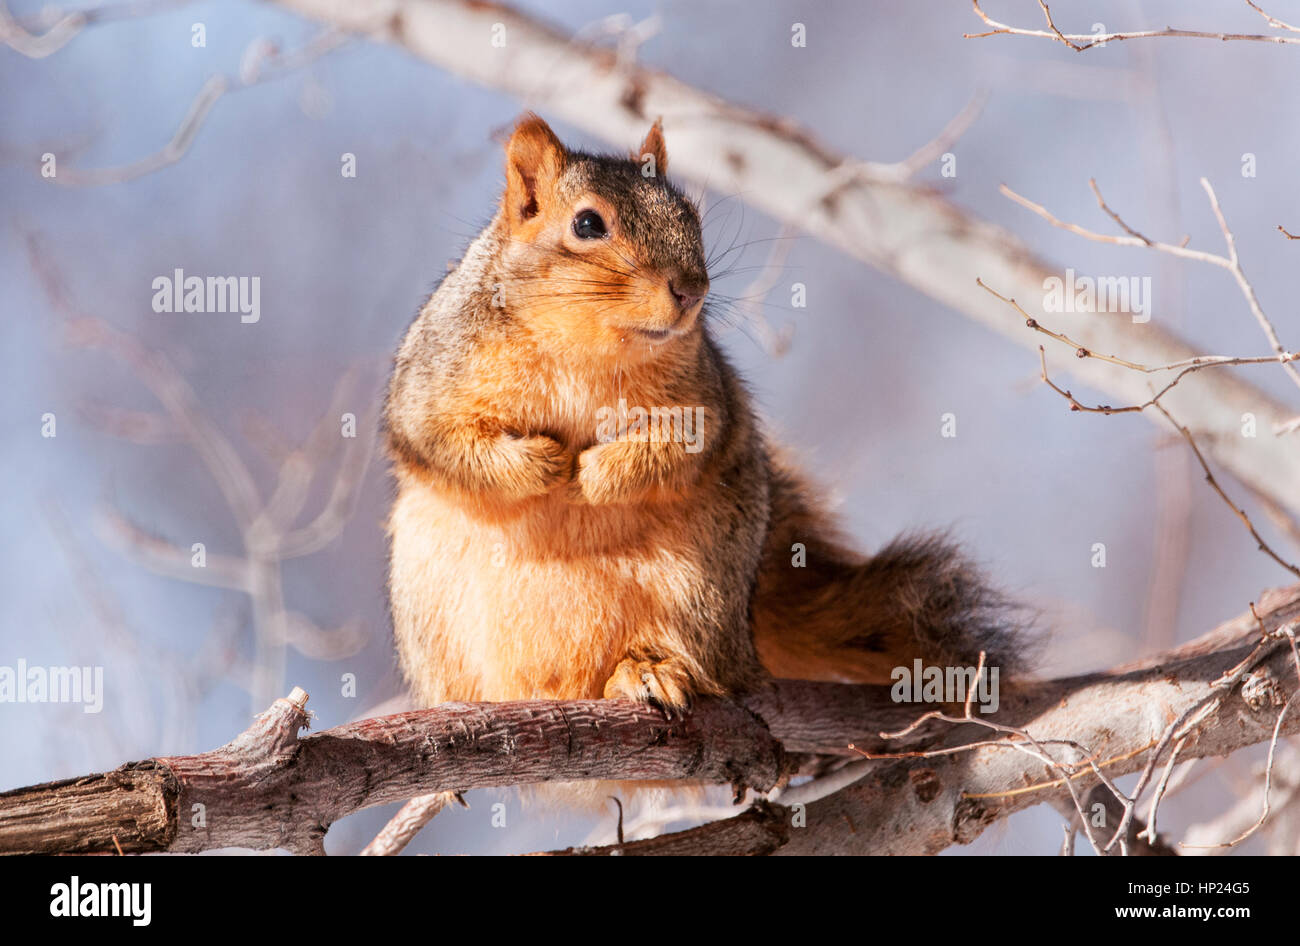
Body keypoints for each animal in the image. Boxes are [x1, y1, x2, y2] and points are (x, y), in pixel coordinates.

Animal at [379, 112, 1019, 717]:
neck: (582, 347)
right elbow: (443, 442)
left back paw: (648, 670)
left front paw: (595, 475)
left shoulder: (707, 400)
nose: (691, 289)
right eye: (587, 224)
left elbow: (680, 447)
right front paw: (543, 464)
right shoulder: (431, 382)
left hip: (697, 590)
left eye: (690, 214)